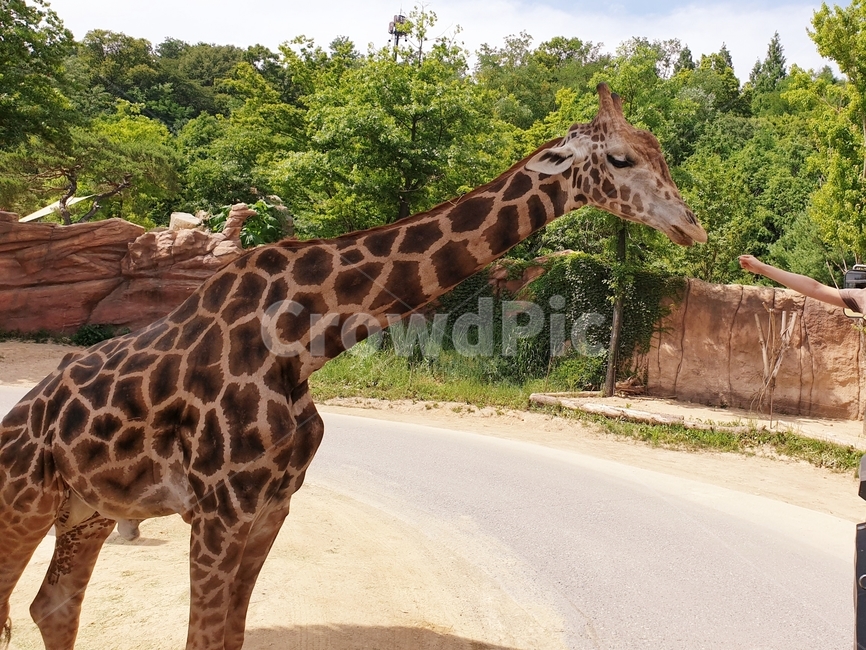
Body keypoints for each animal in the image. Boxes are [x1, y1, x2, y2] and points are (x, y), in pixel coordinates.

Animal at [0, 83, 706, 650]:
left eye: (660, 152)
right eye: (621, 158)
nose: (692, 228)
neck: (306, 339)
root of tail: (21, 416)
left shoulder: (272, 508)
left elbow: (230, 635)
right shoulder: (219, 510)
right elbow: (203, 638)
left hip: (85, 510)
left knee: (51, 606)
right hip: (23, 502)